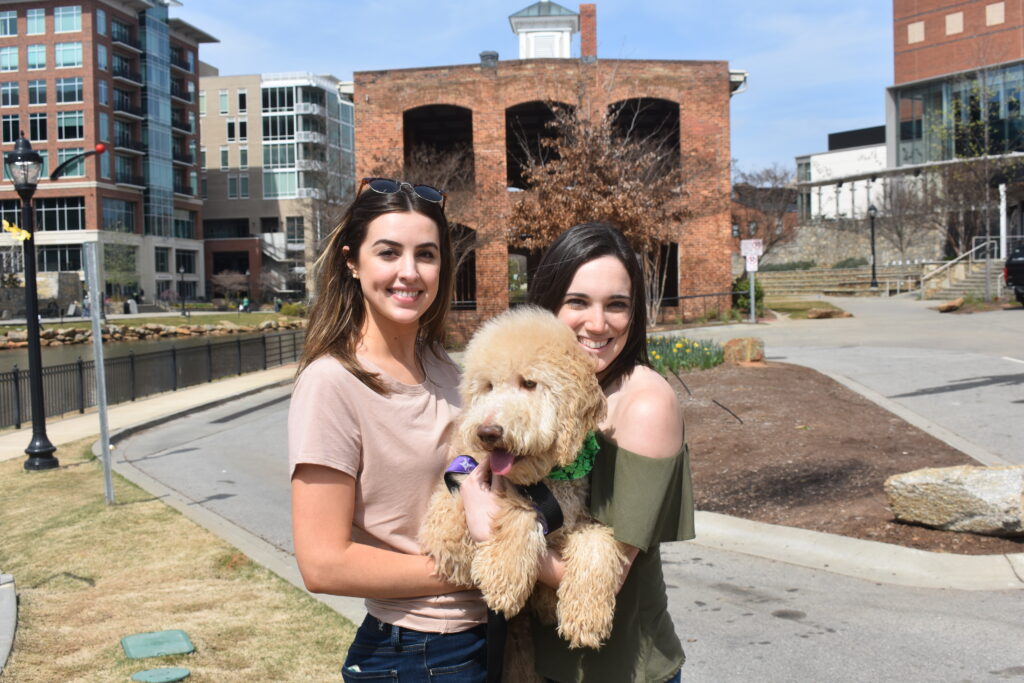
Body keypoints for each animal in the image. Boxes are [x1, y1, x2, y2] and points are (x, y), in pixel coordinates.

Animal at [419, 309, 626, 651]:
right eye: (488, 387)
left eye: (529, 383)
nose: (487, 432)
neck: (545, 480)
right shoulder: (448, 512)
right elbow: (516, 510)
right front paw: (503, 577)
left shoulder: (579, 521)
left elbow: (598, 542)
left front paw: (587, 617)